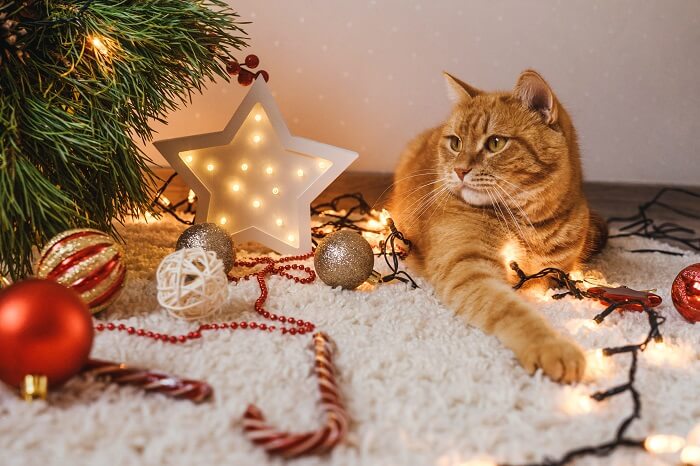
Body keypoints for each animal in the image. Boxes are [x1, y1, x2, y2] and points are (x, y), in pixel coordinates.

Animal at [388, 69, 608, 382]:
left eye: (495, 143)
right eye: (455, 143)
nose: (459, 170)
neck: (531, 225)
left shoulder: (557, 271)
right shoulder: (469, 268)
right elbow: (513, 311)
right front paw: (551, 346)